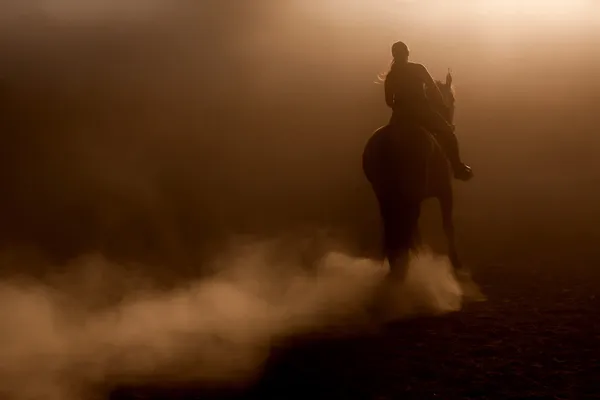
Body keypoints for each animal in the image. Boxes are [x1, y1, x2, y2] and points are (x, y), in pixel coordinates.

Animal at [360, 70, 464, 280]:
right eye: (453, 99)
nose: (452, 124)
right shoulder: (445, 191)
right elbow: (448, 226)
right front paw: (456, 264)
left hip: (385, 195)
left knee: (394, 227)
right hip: (411, 196)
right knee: (404, 226)